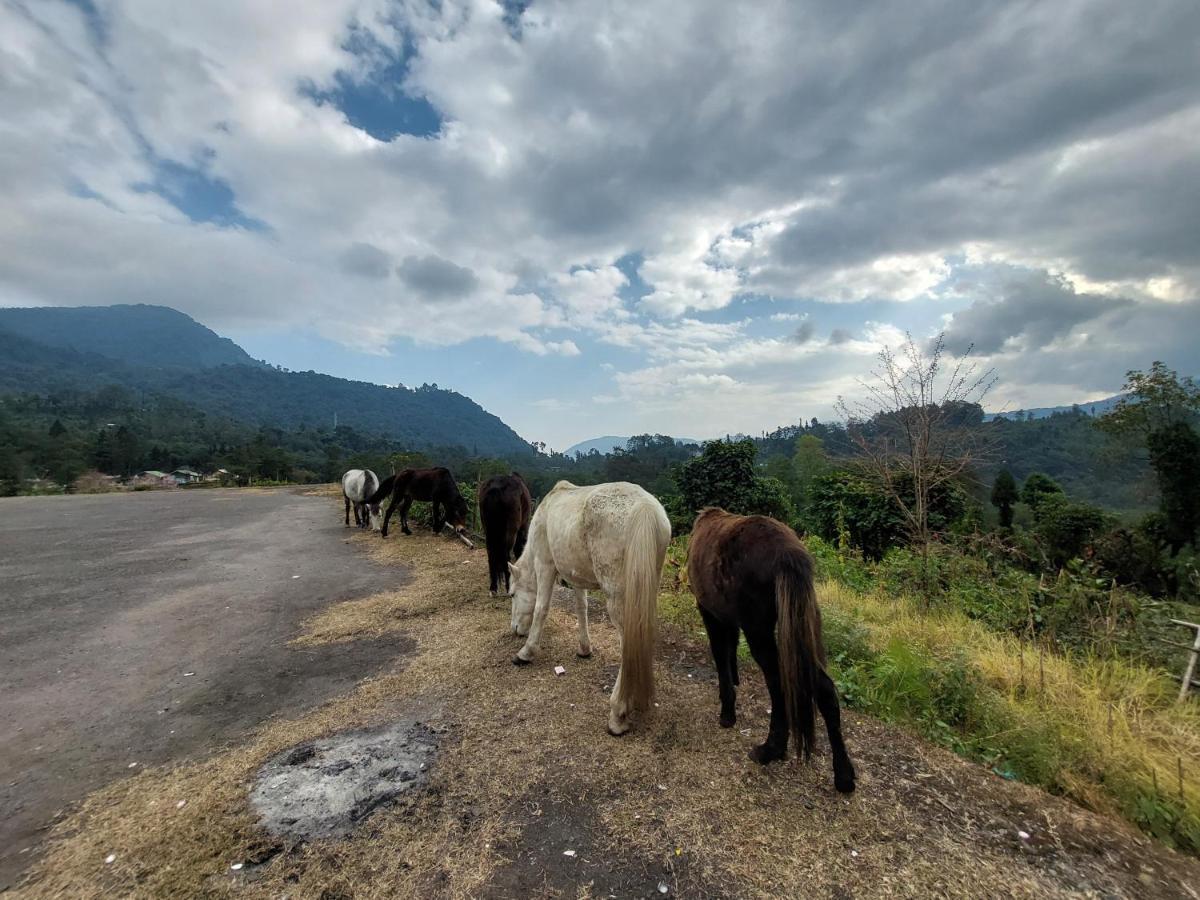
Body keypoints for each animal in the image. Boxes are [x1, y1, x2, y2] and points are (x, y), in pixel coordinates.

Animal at [508, 482, 676, 734]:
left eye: (512, 594)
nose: (515, 629)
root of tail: (644, 507)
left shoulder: (545, 565)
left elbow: (541, 609)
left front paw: (526, 652)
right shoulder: (576, 577)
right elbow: (582, 608)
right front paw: (584, 649)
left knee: (627, 643)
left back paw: (618, 713)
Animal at [686, 511, 854, 792]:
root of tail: (788, 553)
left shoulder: (709, 612)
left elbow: (720, 656)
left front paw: (727, 713)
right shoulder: (728, 616)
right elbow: (730, 650)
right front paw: (735, 685)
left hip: (759, 630)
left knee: (777, 681)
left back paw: (771, 749)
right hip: (800, 624)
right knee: (824, 689)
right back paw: (844, 775)